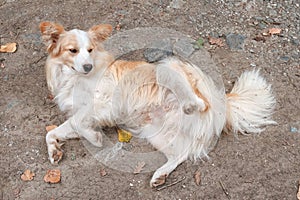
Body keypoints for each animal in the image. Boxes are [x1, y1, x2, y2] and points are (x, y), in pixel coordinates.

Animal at [39, 21, 276, 188]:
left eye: (90, 50)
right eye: (73, 51)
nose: (87, 66)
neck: (72, 77)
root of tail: (220, 100)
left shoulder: (102, 104)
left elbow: (78, 123)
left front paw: (96, 138)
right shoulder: (84, 113)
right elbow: (53, 132)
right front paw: (55, 151)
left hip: (167, 66)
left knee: (197, 101)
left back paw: (191, 104)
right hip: (156, 133)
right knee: (180, 155)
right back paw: (160, 176)